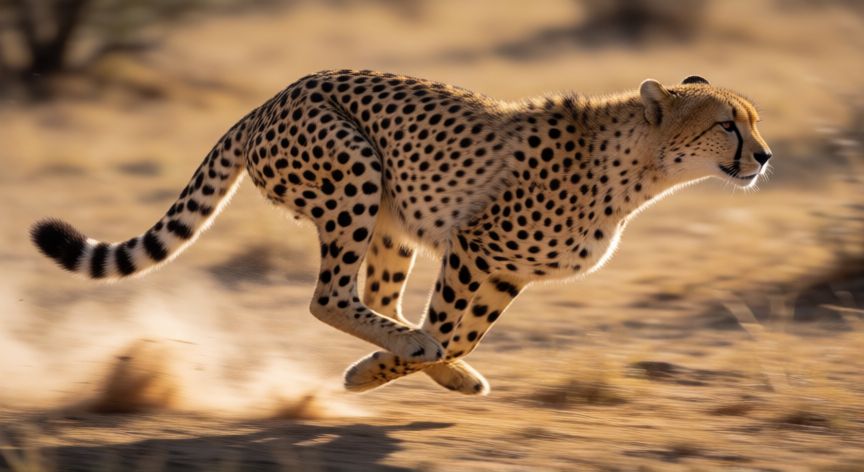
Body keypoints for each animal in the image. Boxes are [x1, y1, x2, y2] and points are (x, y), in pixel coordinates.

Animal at [31, 70, 772, 395]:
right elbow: (448, 324)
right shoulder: (480, 246)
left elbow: (465, 330)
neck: (638, 165)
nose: (764, 157)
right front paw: (385, 371)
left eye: (754, 121)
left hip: (392, 217)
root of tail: (270, 99)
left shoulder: (504, 268)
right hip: (353, 171)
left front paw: (444, 372)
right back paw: (399, 350)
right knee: (330, 296)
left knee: (374, 297)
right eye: (727, 124)